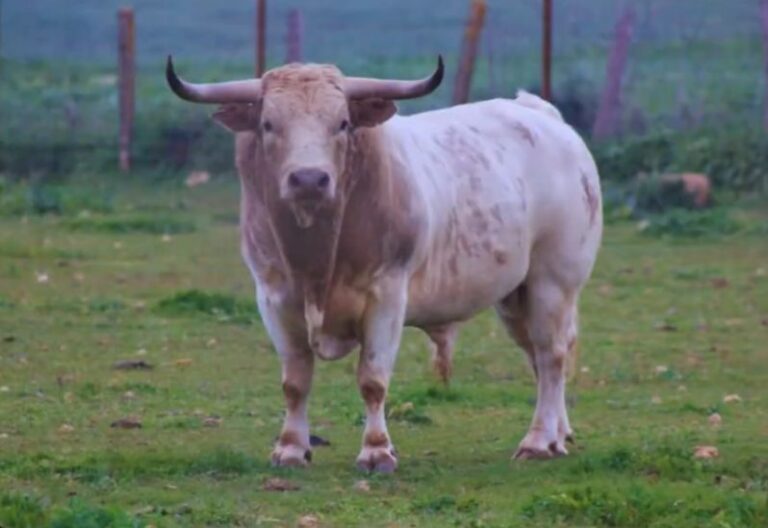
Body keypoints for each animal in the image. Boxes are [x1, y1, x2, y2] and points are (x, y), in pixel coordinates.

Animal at [166, 55, 602, 473]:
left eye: (342, 123)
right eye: (268, 123)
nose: (308, 179)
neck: (317, 257)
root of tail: (542, 114)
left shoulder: (386, 296)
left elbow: (372, 380)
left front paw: (376, 451)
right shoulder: (274, 297)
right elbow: (295, 382)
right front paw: (290, 448)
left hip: (553, 283)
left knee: (551, 355)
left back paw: (538, 441)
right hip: (515, 296)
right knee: (539, 358)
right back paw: (558, 434)